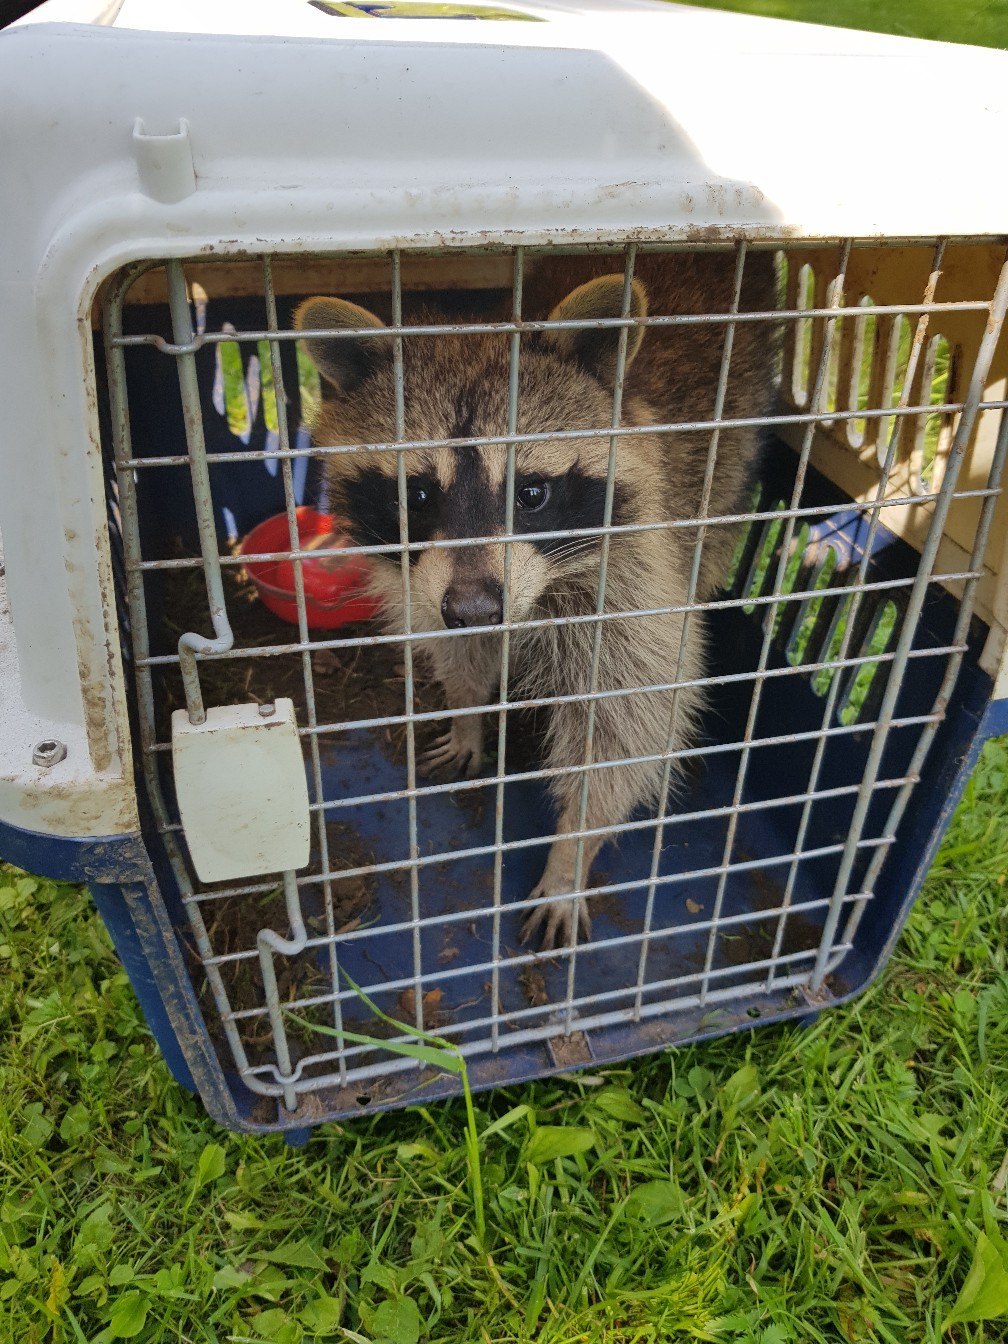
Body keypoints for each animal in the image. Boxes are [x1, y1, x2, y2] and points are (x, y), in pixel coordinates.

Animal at [294, 247, 779, 951]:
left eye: (531, 494)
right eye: (418, 496)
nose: (475, 610)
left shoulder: (632, 575)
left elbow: (627, 725)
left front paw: (571, 852)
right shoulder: (427, 585)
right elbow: (456, 649)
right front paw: (468, 709)